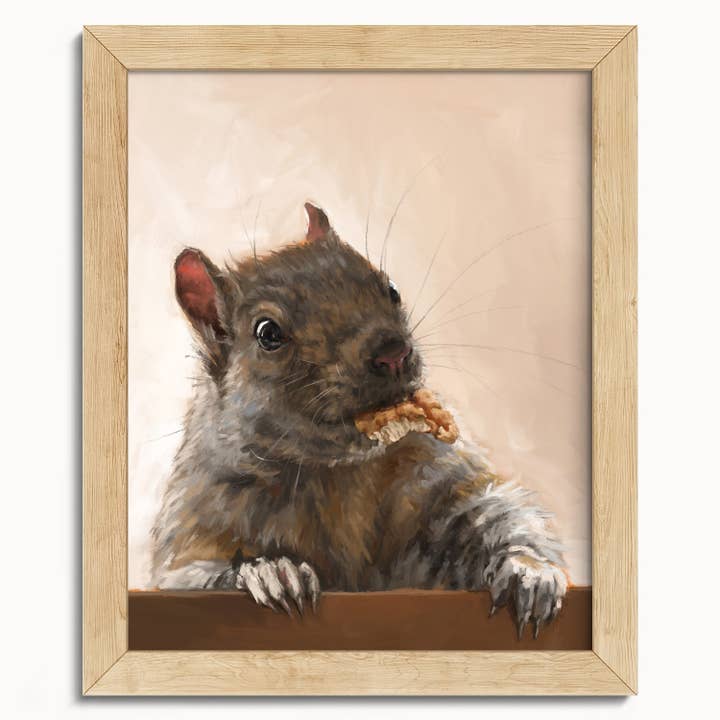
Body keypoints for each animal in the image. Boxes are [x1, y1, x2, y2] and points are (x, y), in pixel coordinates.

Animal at [152, 202, 567, 638]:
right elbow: (188, 574)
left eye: (392, 289)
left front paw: (529, 571)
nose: (393, 352)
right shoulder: (196, 523)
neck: (335, 472)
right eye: (267, 333)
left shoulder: (435, 475)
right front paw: (269, 572)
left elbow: (492, 509)